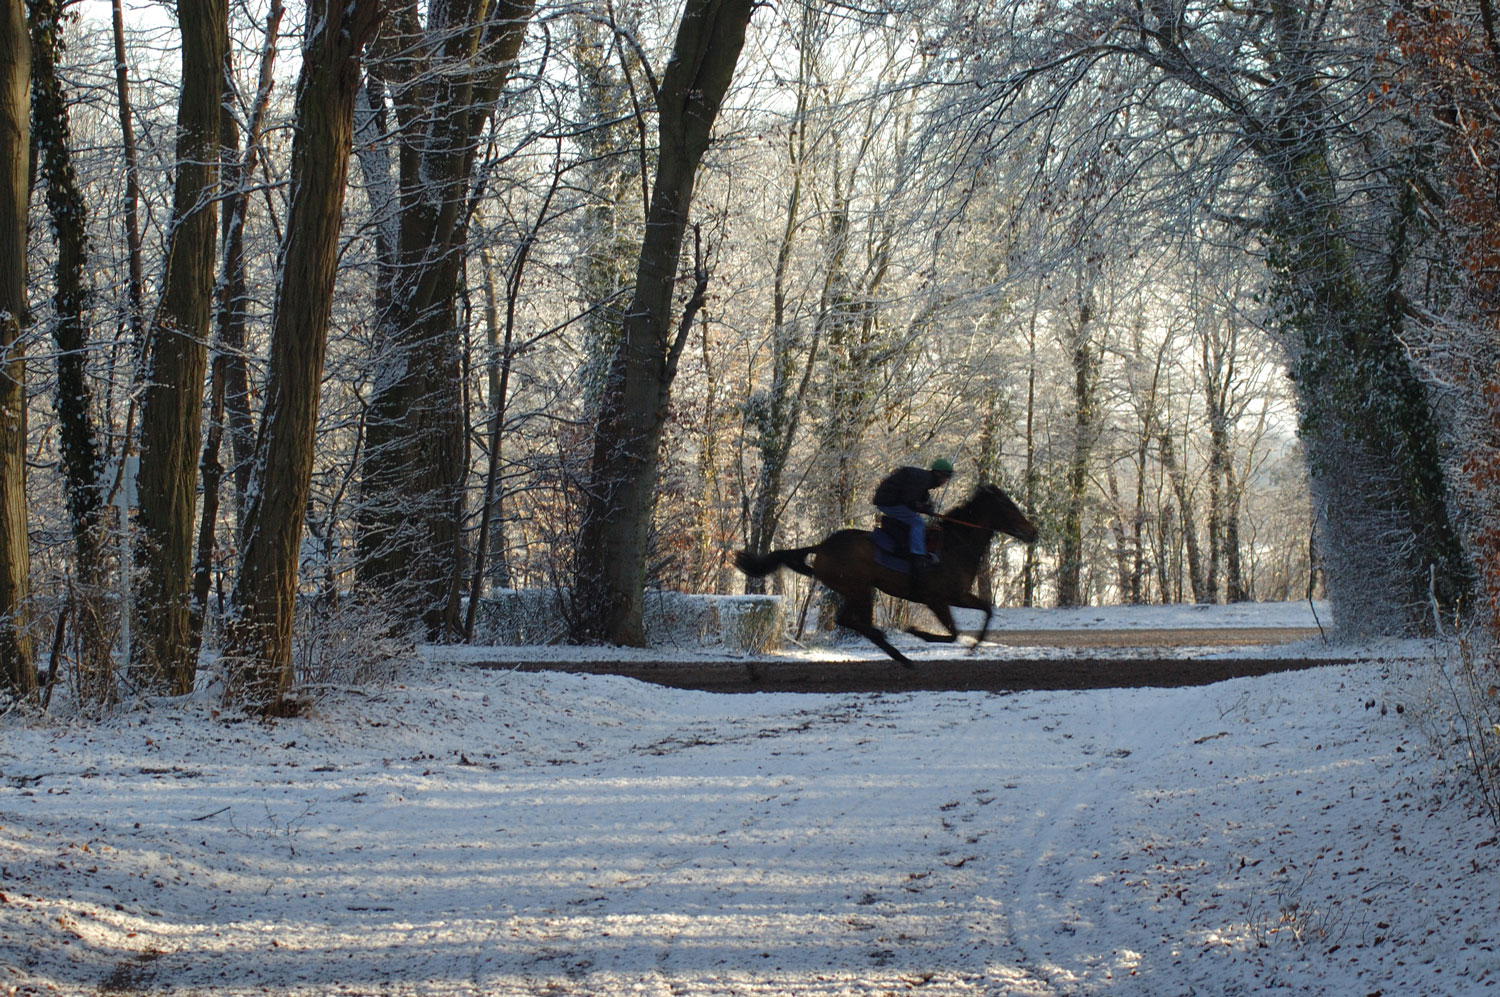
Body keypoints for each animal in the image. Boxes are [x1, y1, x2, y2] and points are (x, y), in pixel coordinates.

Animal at [732, 479, 1038, 665]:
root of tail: (822, 546)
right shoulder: (938, 598)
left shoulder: (957, 595)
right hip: (860, 588)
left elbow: (986, 610)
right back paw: (896, 651)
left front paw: (973, 646)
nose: (1033, 532)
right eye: (1009, 506)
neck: (954, 544)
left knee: (848, 620)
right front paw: (916, 632)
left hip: (854, 589)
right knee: (851, 621)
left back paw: (892, 649)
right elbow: (953, 633)